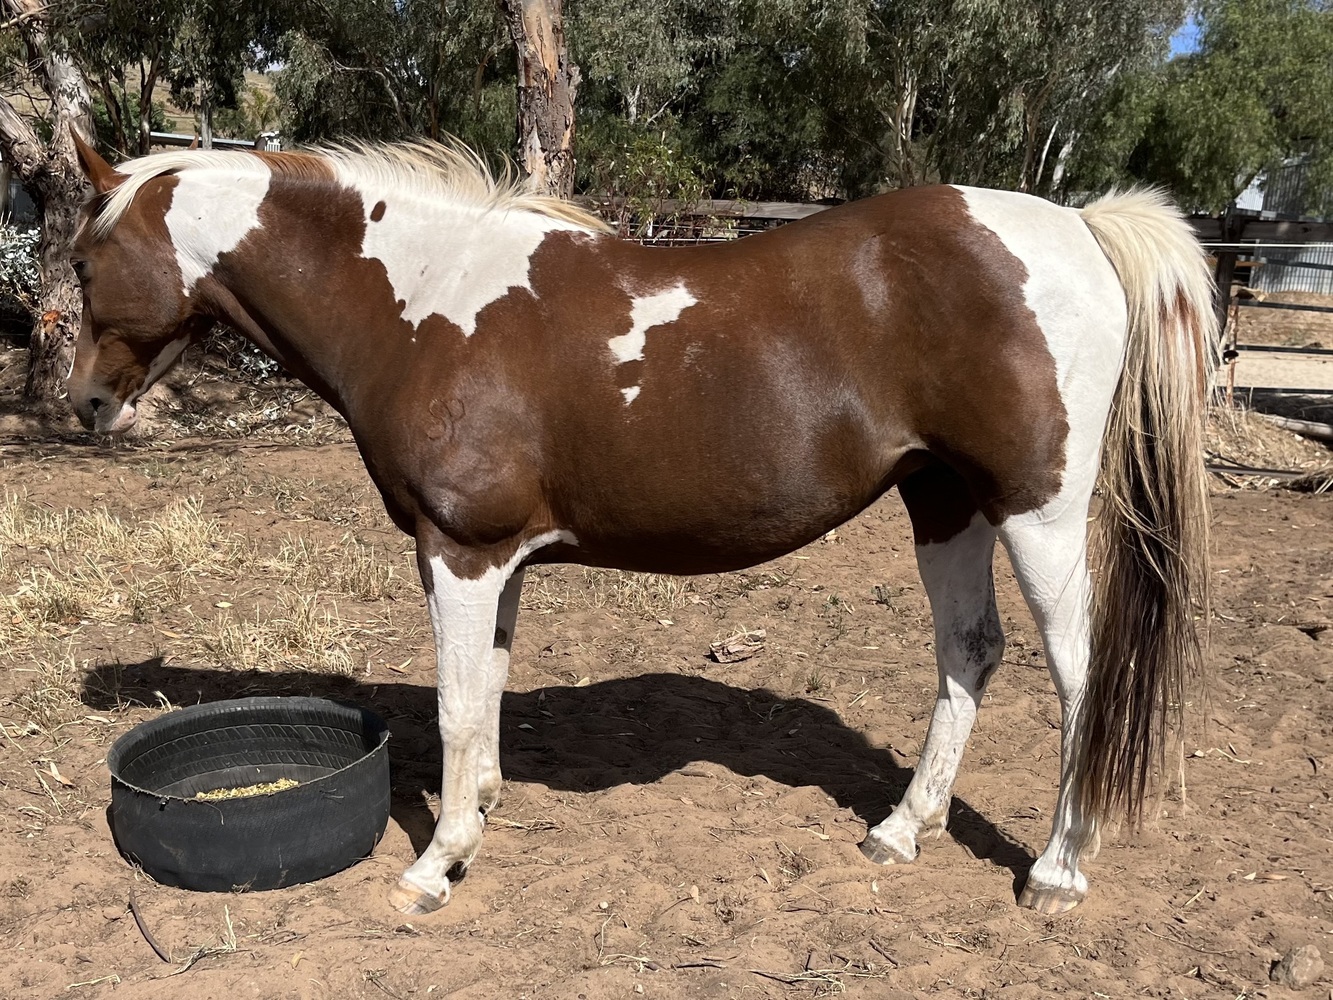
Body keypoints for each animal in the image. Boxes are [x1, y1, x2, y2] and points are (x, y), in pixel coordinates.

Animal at [66, 134, 1214, 917]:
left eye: (81, 263)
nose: (81, 405)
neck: (423, 302)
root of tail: (1077, 227)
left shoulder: (459, 550)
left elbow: (453, 708)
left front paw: (435, 865)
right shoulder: (498, 561)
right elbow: (487, 693)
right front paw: (481, 815)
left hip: (1037, 511)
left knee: (1078, 671)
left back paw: (1057, 867)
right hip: (943, 500)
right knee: (968, 654)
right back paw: (899, 832)